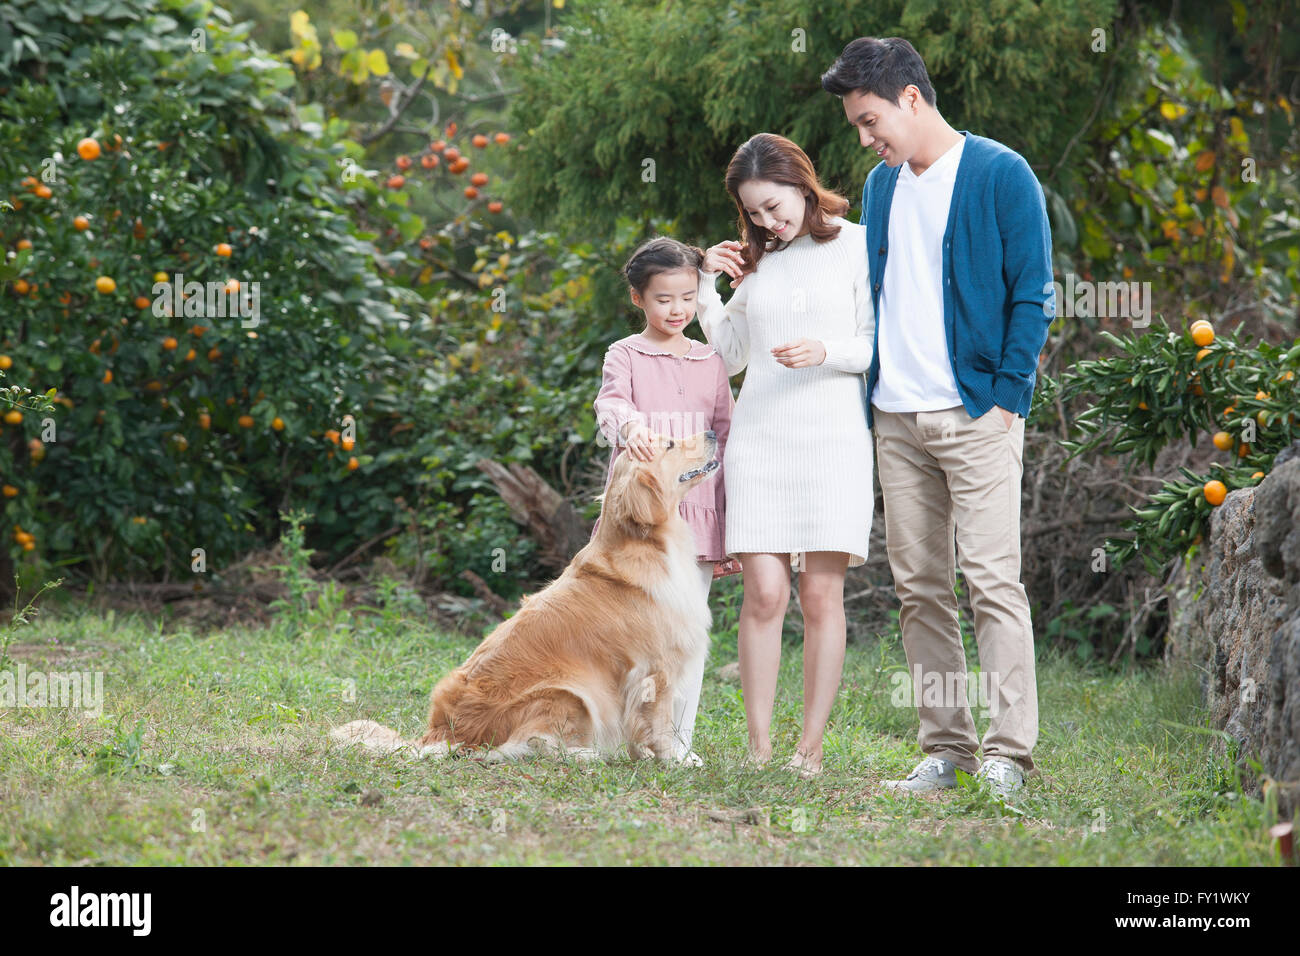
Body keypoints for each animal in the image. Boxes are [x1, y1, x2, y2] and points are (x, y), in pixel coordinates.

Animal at [332, 429, 722, 764]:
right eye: (669, 443)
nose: (712, 432)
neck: (648, 543)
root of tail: (443, 733)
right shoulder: (658, 669)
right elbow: (659, 725)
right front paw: (672, 761)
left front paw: (647, 756)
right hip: (571, 694)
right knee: (529, 745)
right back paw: (586, 754)